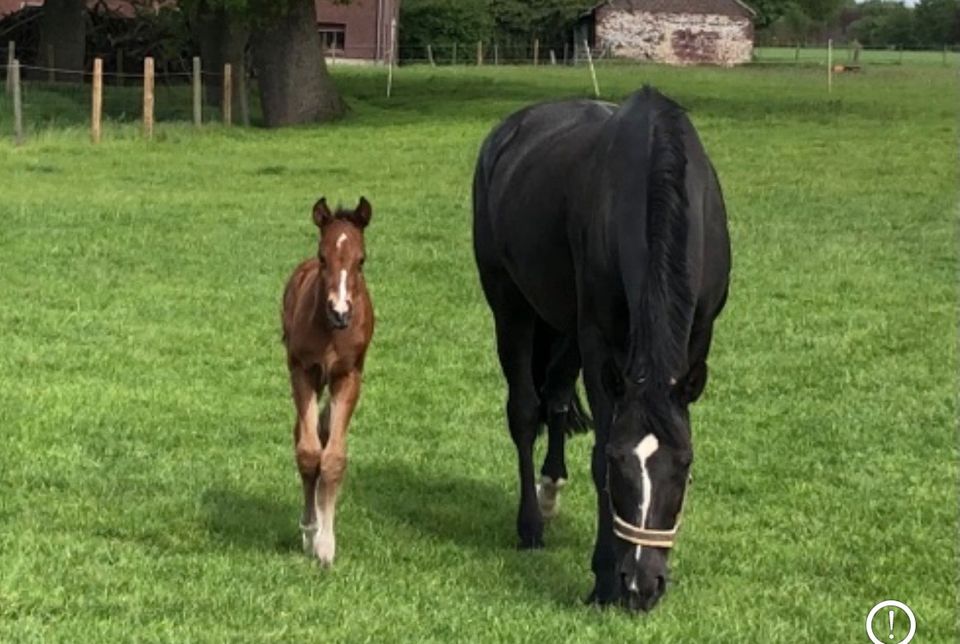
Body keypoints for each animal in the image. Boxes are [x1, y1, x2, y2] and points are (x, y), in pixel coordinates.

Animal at [280, 195, 374, 564]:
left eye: (361, 259)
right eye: (323, 257)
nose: (340, 311)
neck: (331, 332)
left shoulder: (348, 376)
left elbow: (332, 457)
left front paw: (326, 545)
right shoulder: (303, 370)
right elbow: (308, 453)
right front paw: (310, 532)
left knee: (324, 429)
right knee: (305, 434)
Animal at [470, 87, 728, 612]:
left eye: (685, 464)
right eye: (618, 461)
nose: (643, 584)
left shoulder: (698, 334)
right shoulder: (598, 340)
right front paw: (606, 579)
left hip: (562, 324)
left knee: (555, 395)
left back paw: (551, 488)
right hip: (511, 304)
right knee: (525, 410)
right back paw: (531, 523)